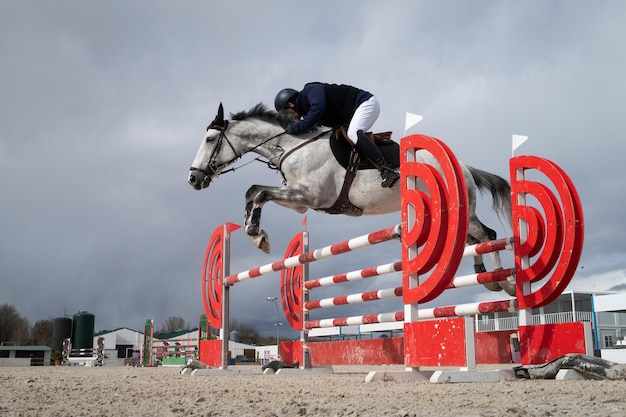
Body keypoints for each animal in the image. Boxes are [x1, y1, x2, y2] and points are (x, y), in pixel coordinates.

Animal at [188, 102, 516, 294]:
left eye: (209, 139)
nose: (193, 178)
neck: (292, 147)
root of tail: (465, 167)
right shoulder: (299, 202)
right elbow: (254, 191)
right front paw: (255, 232)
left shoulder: (309, 195)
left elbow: (259, 192)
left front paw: (257, 235)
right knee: (472, 239)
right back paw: (485, 275)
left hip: (459, 209)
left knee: (488, 235)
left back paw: (502, 280)